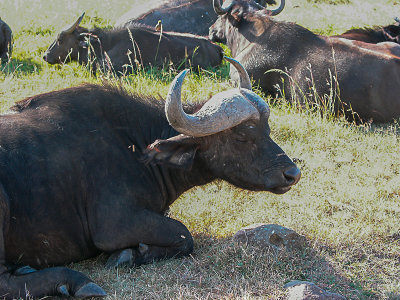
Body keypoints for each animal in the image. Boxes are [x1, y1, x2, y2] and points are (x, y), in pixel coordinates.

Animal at [0, 56, 300, 298]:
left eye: (267, 130)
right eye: (242, 136)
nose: (292, 173)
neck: (132, 145)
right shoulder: (115, 225)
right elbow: (184, 235)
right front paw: (128, 255)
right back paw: (76, 281)